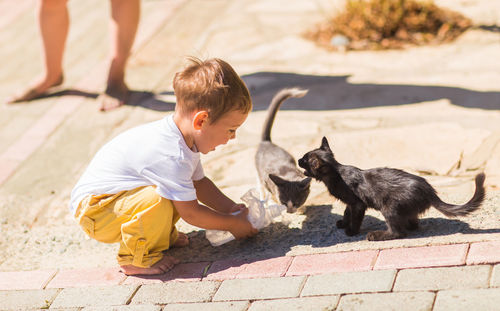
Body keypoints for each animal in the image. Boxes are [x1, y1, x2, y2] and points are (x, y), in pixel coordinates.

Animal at [298, 138, 486, 243]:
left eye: (305, 160)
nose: (298, 159)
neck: (337, 175)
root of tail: (429, 190)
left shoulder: (358, 204)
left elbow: (355, 218)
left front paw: (351, 231)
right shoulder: (350, 203)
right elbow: (346, 213)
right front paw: (343, 223)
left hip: (389, 207)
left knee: (399, 232)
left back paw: (376, 236)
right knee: (413, 223)